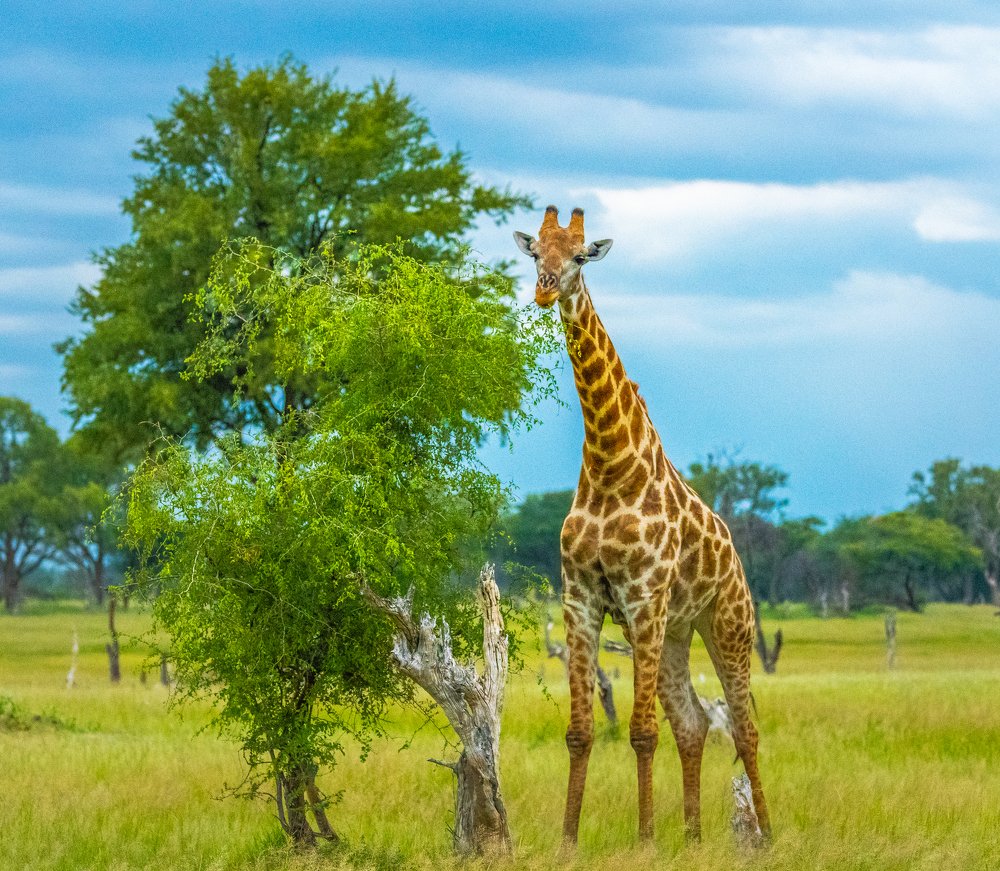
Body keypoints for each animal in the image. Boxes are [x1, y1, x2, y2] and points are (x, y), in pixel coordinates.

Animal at [514, 206, 771, 848]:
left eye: (580, 256)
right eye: (536, 254)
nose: (545, 289)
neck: (610, 465)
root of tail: (734, 553)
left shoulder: (644, 596)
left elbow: (641, 731)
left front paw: (646, 839)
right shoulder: (581, 598)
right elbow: (582, 731)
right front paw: (569, 841)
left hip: (726, 623)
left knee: (744, 727)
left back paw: (768, 834)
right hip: (675, 632)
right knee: (694, 721)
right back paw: (695, 836)